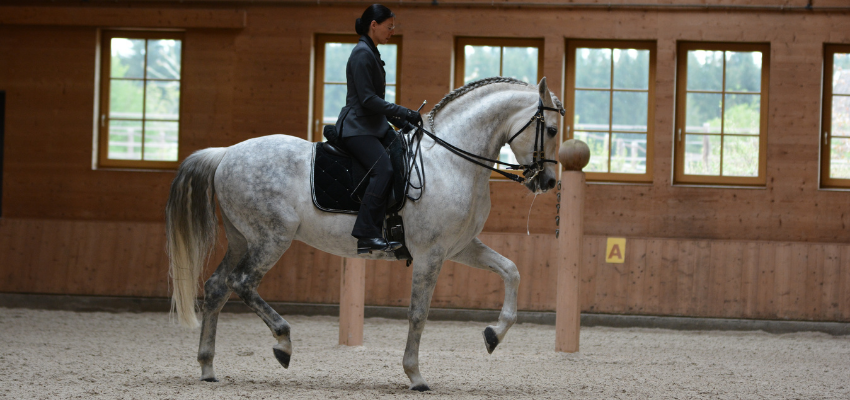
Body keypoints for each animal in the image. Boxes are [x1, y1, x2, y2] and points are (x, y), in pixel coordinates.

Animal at [166, 76, 564, 390]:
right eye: (552, 130)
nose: (547, 182)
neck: (452, 161)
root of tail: (226, 153)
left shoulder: (460, 247)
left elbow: (511, 270)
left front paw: (494, 335)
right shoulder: (431, 254)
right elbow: (418, 313)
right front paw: (415, 375)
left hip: (241, 239)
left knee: (216, 288)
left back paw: (207, 367)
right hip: (270, 239)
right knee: (242, 282)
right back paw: (283, 343)